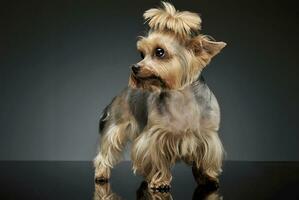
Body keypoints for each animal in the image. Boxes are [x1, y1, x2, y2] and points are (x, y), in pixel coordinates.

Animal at [95, 1, 226, 191]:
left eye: (159, 52)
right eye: (142, 54)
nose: (134, 67)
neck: (181, 96)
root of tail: (122, 91)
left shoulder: (207, 135)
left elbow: (206, 159)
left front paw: (208, 178)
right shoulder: (156, 135)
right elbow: (156, 159)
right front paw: (160, 181)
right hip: (117, 126)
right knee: (106, 150)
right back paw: (101, 174)